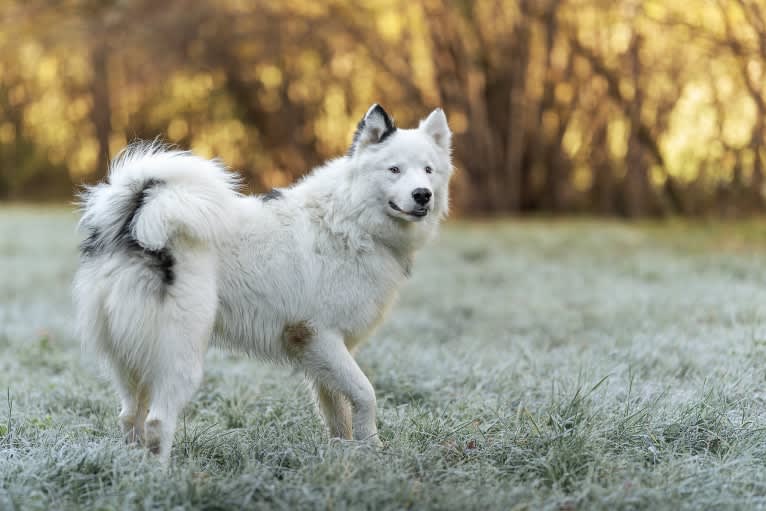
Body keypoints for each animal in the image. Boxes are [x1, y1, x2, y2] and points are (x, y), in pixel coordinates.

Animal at [71, 105, 452, 464]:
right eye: (394, 170)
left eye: (428, 170)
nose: (423, 195)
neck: (353, 217)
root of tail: (136, 217)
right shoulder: (320, 335)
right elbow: (365, 394)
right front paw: (374, 448)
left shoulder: (324, 352)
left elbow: (337, 411)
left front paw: (346, 456)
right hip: (180, 354)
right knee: (157, 423)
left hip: (131, 360)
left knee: (130, 418)